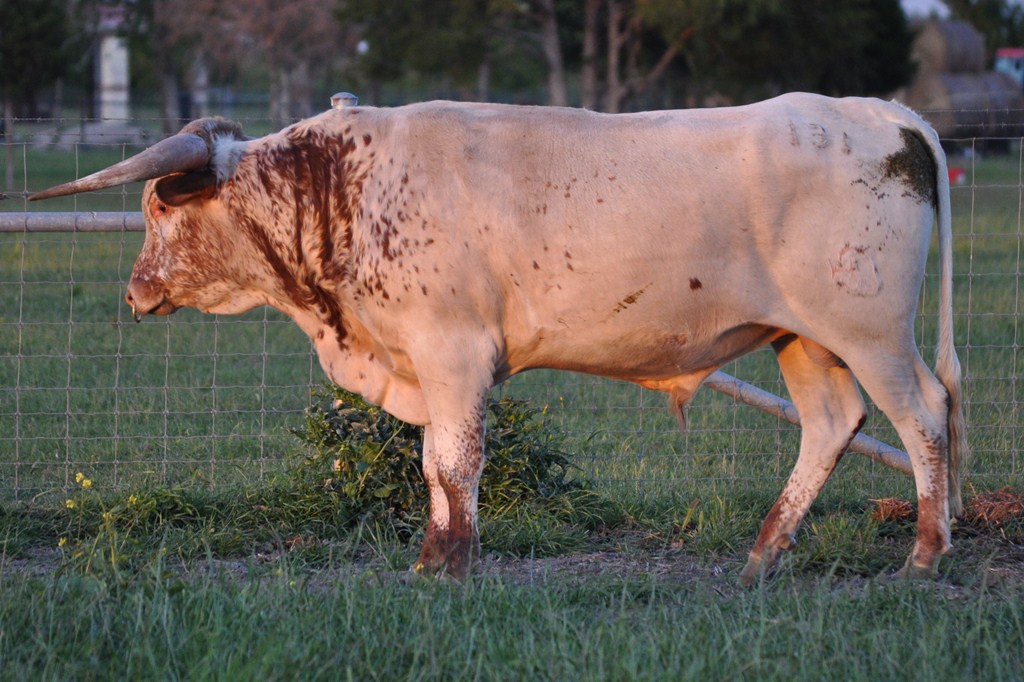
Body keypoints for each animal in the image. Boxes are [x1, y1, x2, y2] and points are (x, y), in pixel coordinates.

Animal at [32, 93, 966, 583]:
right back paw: (766, 554)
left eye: (158, 208)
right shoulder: (423, 363)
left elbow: (454, 464)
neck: (342, 187)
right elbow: (430, 466)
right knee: (833, 423)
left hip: (871, 331)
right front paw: (432, 556)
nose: (134, 291)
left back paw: (925, 554)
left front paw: (454, 563)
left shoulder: (453, 353)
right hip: (803, 337)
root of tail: (881, 113)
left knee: (923, 415)